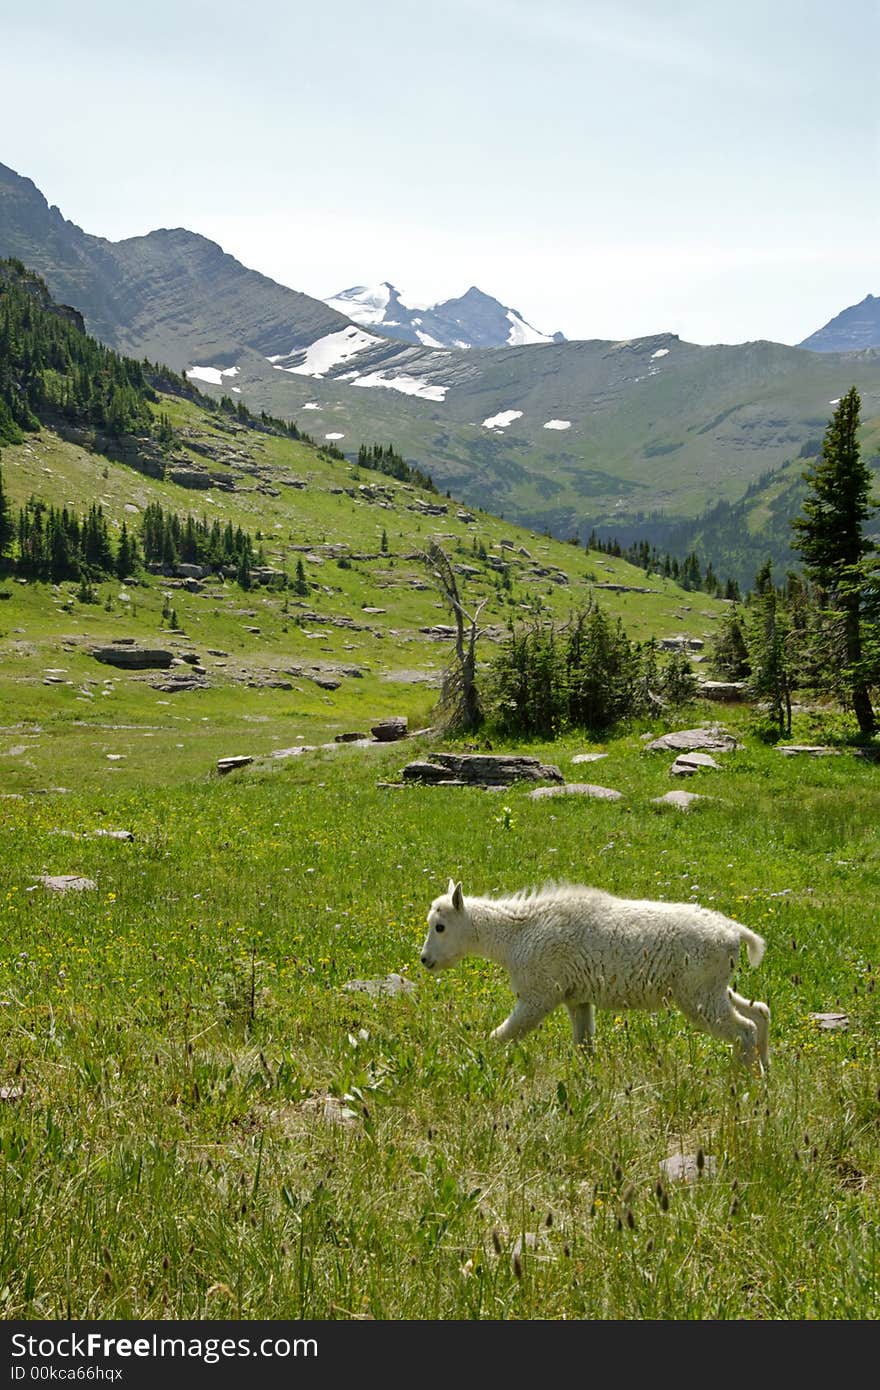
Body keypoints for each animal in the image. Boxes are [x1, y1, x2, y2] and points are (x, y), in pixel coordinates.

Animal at [419, 878, 767, 1073]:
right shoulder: (577, 999)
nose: (425, 960)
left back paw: (742, 1079)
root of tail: (733, 932)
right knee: (759, 1011)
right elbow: (584, 1045)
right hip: (713, 988)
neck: (517, 933)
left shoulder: (539, 995)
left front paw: (476, 1060)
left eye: (440, 926)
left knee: (744, 1029)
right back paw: (765, 1072)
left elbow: (500, 1036)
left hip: (698, 995)